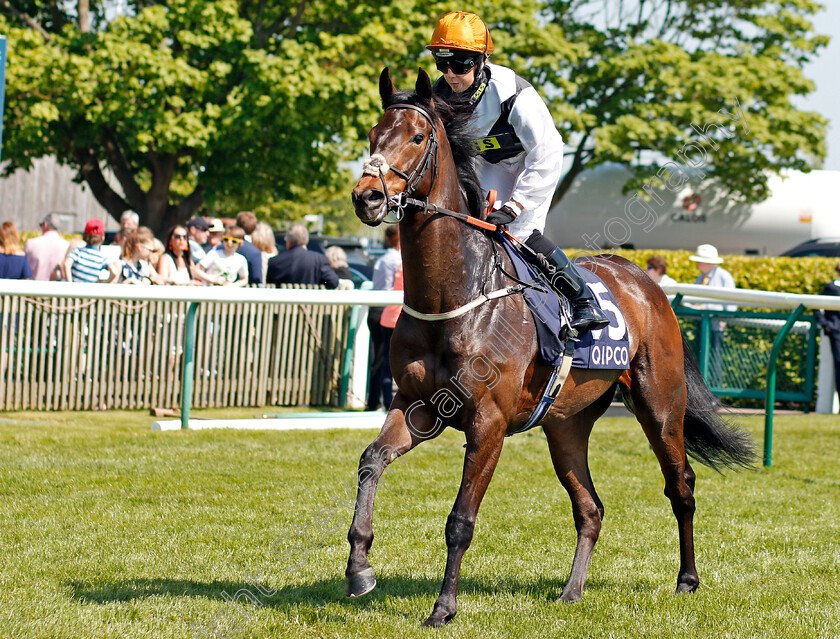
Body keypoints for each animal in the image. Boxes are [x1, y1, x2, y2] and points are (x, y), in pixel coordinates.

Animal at [348, 67, 756, 628]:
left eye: (416, 136)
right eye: (372, 135)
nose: (366, 198)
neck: (457, 295)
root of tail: (643, 280)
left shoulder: (488, 423)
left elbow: (460, 520)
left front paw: (443, 607)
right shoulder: (415, 406)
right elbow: (371, 461)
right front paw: (359, 568)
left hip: (660, 407)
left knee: (682, 487)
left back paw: (687, 580)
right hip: (567, 425)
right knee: (591, 507)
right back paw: (572, 590)